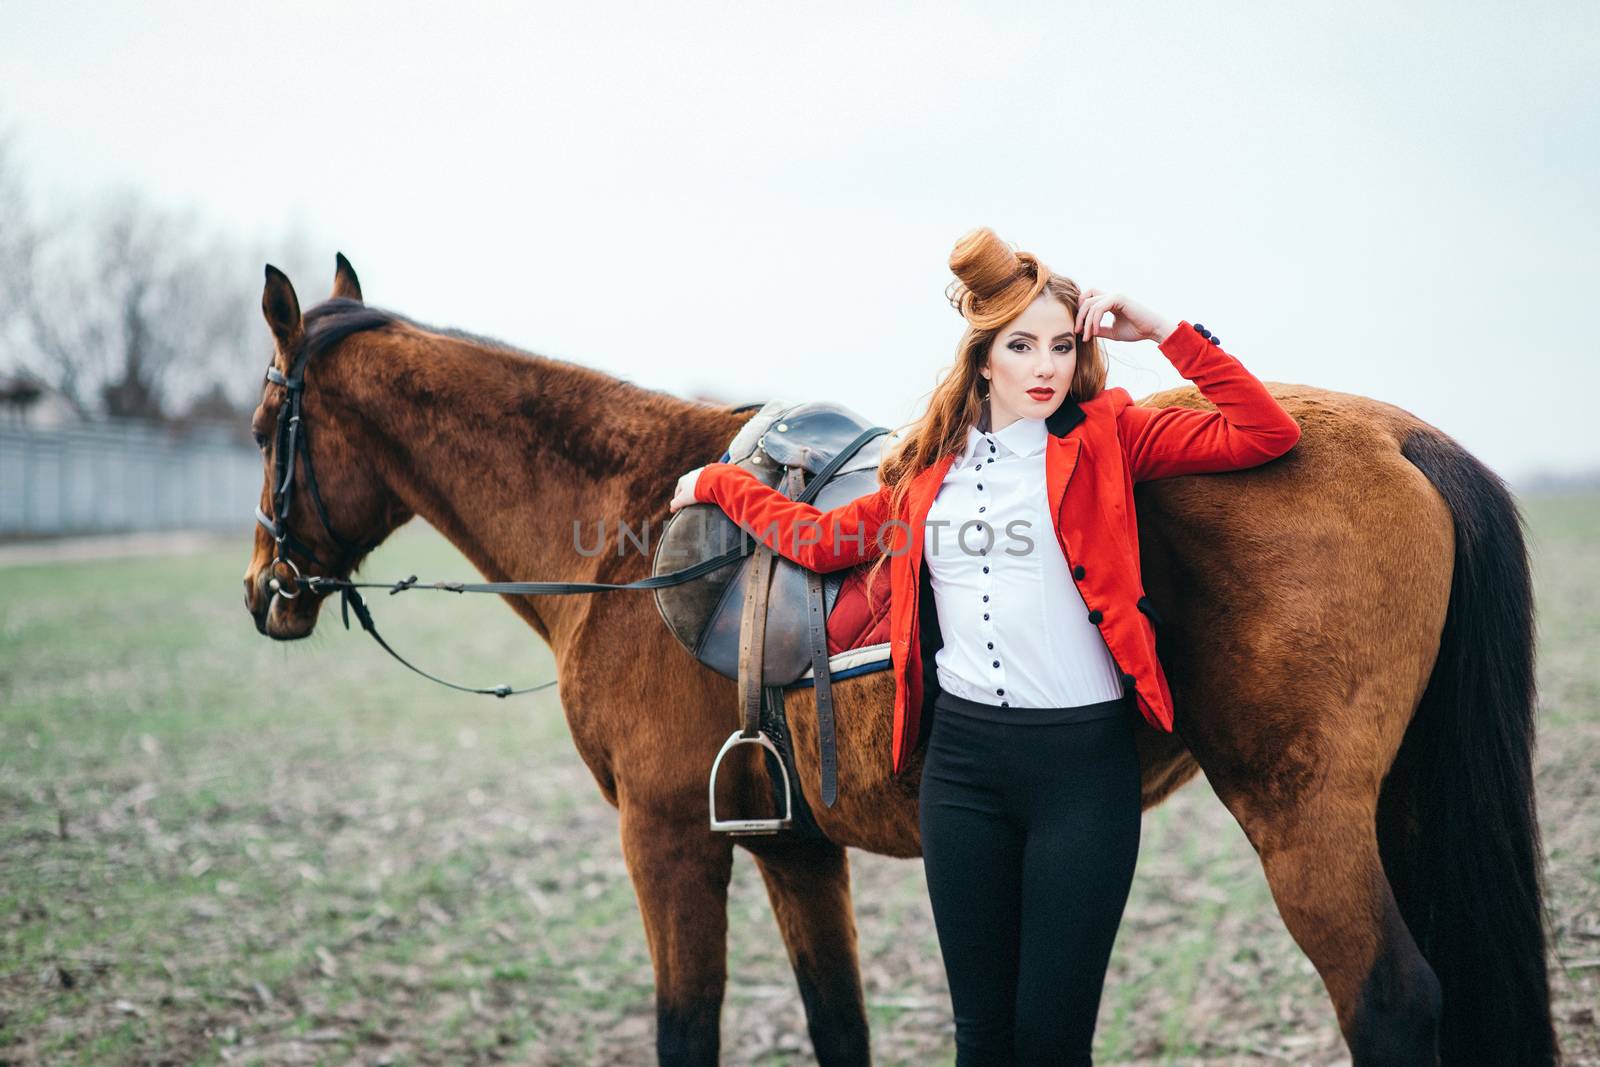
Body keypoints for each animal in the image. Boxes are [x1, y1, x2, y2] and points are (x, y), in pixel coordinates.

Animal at [243, 259, 1555, 1067]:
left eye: (263, 427)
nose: (265, 591)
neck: (629, 523)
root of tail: (1402, 436)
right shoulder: (791, 846)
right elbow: (840, 1027)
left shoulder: (665, 838)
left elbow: (686, 1029)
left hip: (1304, 818)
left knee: (1392, 1001)